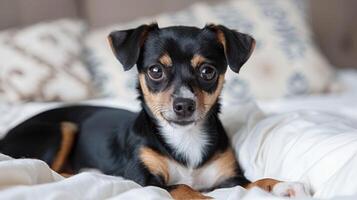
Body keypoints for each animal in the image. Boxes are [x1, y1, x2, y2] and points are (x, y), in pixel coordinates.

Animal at [0, 23, 308, 198]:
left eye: (208, 71)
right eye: (156, 71)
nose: (184, 105)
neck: (185, 138)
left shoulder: (229, 178)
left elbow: (255, 181)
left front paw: (283, 186)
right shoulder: (147, 180)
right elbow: (185, 188)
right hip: (62, 128)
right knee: (47, 168)